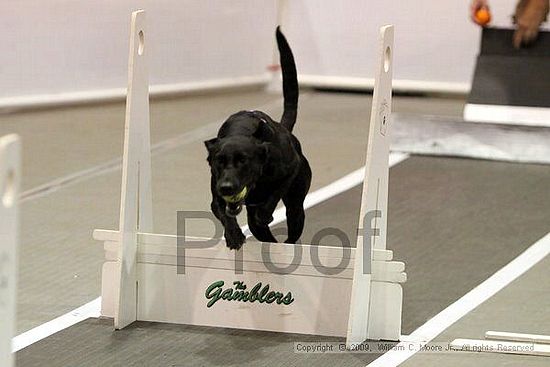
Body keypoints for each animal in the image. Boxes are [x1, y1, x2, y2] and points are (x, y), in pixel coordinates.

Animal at [206, 28, 312, 250]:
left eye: (243, 161)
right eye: (219, 162)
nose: (227, 187)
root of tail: (285, 128)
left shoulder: (290, 169)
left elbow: (275, 192)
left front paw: (265, 213)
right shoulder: (216, 194)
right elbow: (224, 214)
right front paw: (234, 235)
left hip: (296, 206)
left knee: (292, 231)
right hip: (256, 223)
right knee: (263, 234)